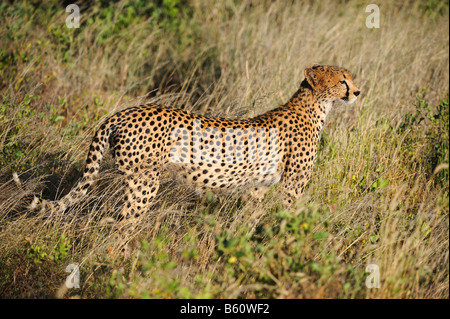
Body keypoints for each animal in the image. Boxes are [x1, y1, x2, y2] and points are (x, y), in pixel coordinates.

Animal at [25, 63, 362, 225]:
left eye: (351, 79)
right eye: (342, 81)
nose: (357, 92)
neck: (314, 106)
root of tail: (124, 111)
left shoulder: (257, 188)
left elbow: (249, 221)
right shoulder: (293, 186)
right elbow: (291, 220)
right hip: (144, 182)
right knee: (122, 225)